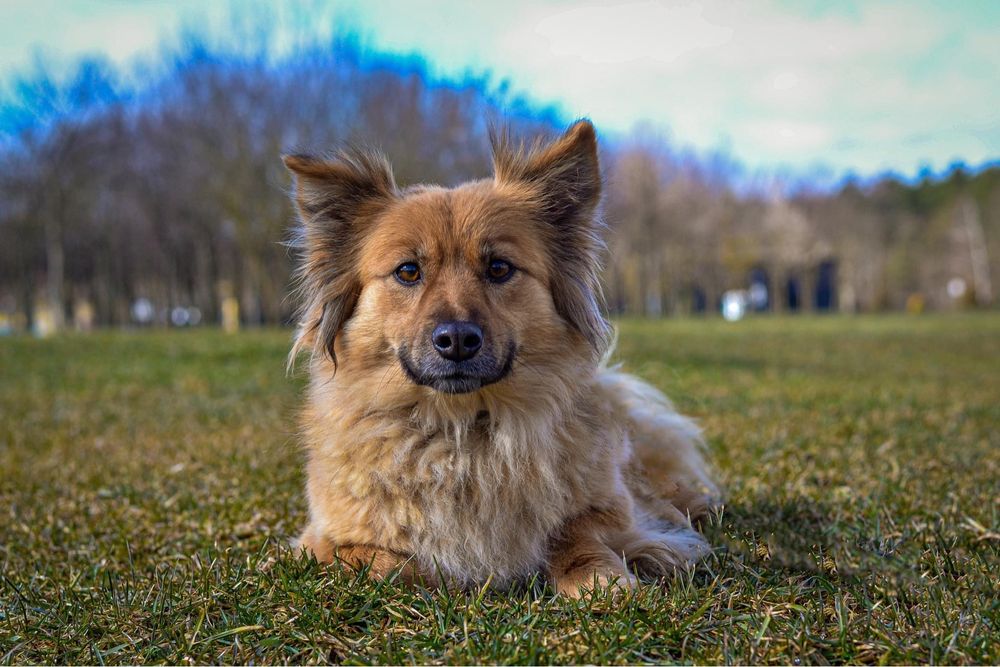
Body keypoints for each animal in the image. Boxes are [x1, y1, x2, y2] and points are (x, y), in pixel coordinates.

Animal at [282, 122, 720, 596]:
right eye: (408, 271)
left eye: (498, 268)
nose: (456, 339)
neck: (461, 429)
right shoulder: (320, 540)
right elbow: (379, 561)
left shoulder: (609, 505)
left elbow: (576, 531)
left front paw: (600, 576)